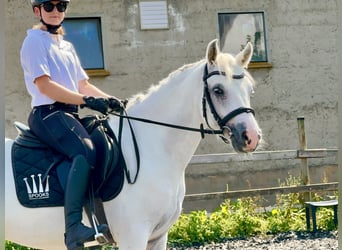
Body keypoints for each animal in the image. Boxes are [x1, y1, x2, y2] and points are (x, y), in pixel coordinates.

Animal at [4, 38, 262, 248]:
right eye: (218, 90)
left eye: (250, 89)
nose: (251, 137)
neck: (154, 149)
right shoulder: (133, 235)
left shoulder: (158, 236)